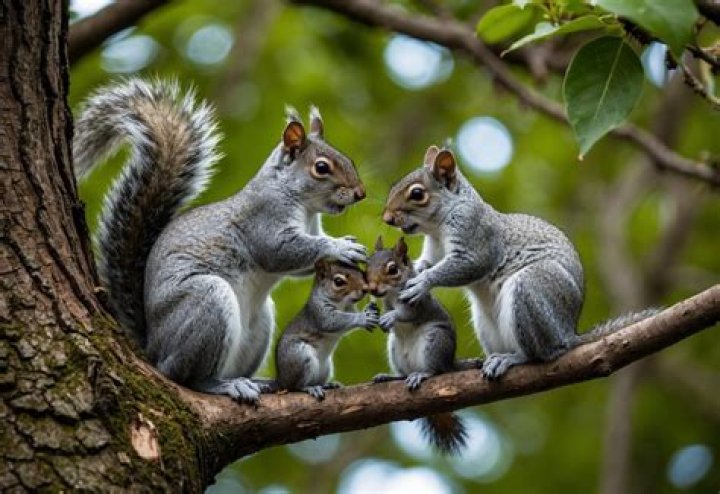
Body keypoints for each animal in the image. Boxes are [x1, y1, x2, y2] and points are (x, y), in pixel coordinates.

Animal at [73, 78, 368, 404]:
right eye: (322, 168)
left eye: (349, 159)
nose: (360, 193)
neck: (301, 204)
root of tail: (153, 347)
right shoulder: (265, 221)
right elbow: (281, 253)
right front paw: (341, 246)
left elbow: (305, 264)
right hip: (207, 304)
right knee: (186, 376)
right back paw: (224, 385)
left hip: (259, 325)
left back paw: (260, 382)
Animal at [275, 259, 379, 400]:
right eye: (338, 281)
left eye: (361, 271)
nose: (365, 289)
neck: (342, 304)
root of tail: (281, 380)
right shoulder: (320, 312)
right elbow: (332, 321)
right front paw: (364, 317)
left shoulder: (350, 308)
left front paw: (370, 309)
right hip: (300, 356)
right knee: (295, 387)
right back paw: (310, 387)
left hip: (326, 367)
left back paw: (327, 385)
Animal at [366, 236, 479, 455]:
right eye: (366, 265)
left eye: (392, 269)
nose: (372, 289)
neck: (391, 295)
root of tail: (450, 362)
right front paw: (374, 314)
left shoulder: (417, 302)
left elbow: (407, 315)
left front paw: (392, 317)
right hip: (395, 350)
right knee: (403, 374)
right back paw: (390, 377)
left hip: (434, 340)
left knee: (436, 371)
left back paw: (423, 374)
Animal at [382, 145, 658, 380]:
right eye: (394, 185)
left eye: (417, 194)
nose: (387, 218)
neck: (438, 225)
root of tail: (569, 334)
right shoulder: (433, 249)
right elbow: (427, 263)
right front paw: (414, 272)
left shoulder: (476, 234)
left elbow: (469, 264)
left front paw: (421, 283)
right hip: (486, 323)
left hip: (532, 288)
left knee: (542, 353)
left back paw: (514, 358)